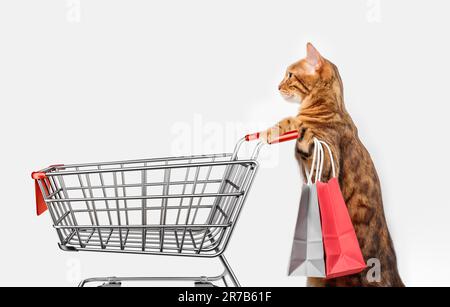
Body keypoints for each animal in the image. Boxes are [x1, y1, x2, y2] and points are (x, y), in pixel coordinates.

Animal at [262, 42, 402, 288]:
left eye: (290, 75)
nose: (278, 86)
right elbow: (288, 123)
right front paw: (270, 132)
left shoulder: (327, 161)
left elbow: (297, 125)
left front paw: (291, 129)